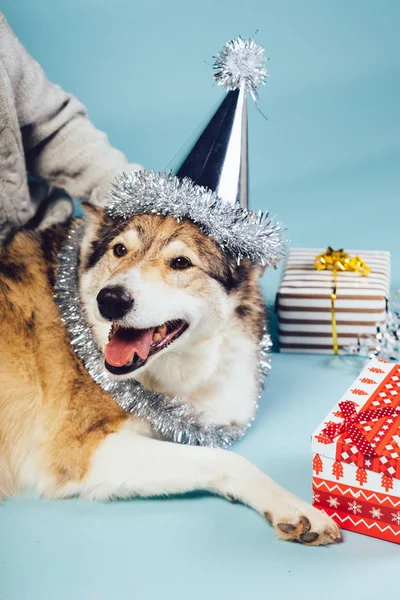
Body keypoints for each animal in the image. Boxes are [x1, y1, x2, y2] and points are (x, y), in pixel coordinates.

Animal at [0, 205, 340, 544]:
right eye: (119, 250)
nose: (110, 299)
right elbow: (227, 459)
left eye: (181, 263)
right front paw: (289, 503)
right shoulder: (79, 449)